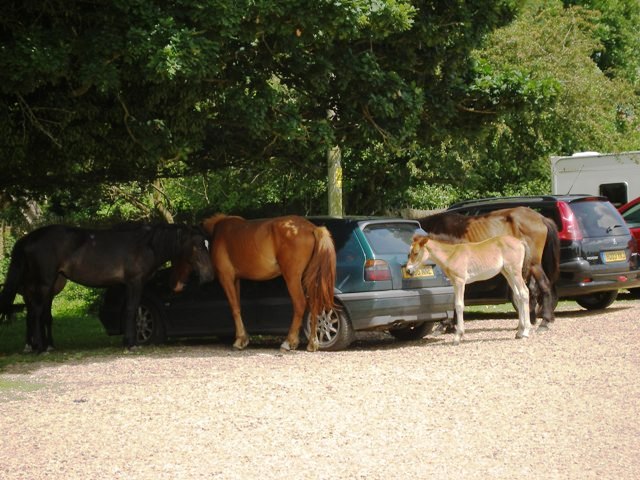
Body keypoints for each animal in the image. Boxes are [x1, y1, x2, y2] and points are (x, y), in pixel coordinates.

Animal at [202, 214, 338, 352]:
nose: (207, 275)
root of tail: (312, 228)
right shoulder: (236, 280)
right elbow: (238, 306)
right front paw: (243, 337)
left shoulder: (227, 278)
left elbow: (234, 308)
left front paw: (240, 339)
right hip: (308, 277)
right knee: (314, 303)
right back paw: (312, 342)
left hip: (292, 278)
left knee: (300, 304)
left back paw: (289, 341)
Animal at [418, 206, 556, 330]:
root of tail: (541, 218)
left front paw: (447, 324)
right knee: (532, 290)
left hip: (534, 264)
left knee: (544, 286)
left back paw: (544, 321)